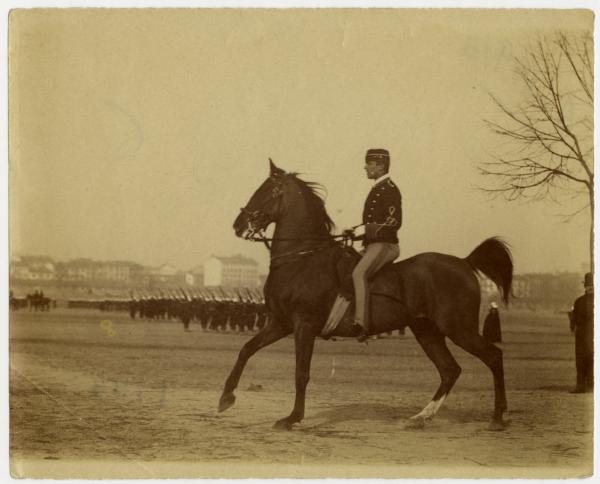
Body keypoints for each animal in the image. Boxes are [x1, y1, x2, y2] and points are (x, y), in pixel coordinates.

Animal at [218, 160, 512, 432]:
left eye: (268, 191)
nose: (238, 225)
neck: (301, 259)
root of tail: (464, 262)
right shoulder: (281, 324)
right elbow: (246, 349)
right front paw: (226, 398)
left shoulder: (304, 326)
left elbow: (301, 372)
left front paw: (292, 418)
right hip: (427, 331)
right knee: (450, 369)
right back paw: (421, 417)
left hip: (459, 329)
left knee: (493, 357)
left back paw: (498, 417)